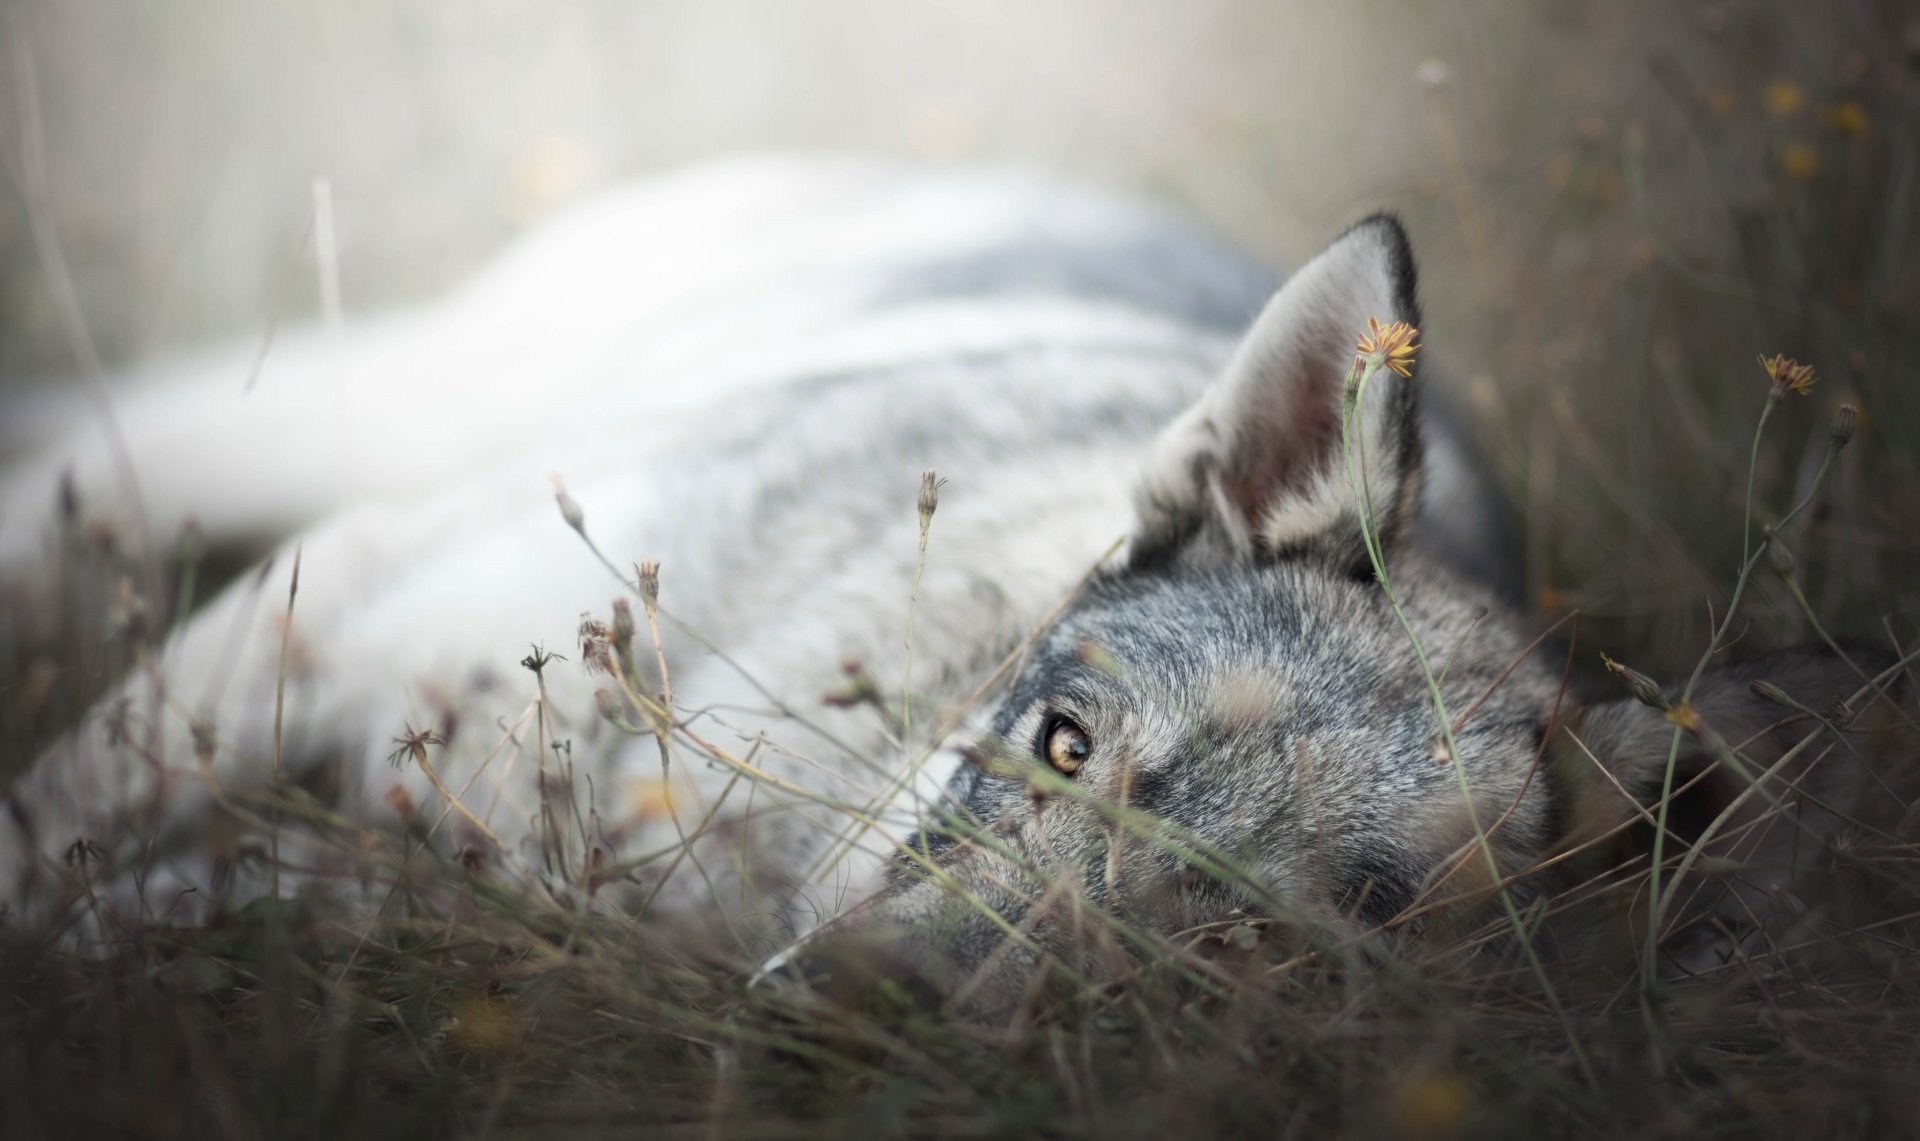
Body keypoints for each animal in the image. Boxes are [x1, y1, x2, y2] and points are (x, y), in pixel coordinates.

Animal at [0, 157, 1900, 1017]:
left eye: (1249, 940)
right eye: (1064, 746)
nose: (857, 1010)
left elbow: (214, 895)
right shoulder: (333, 604)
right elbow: (51, 837)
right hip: (333, 430)